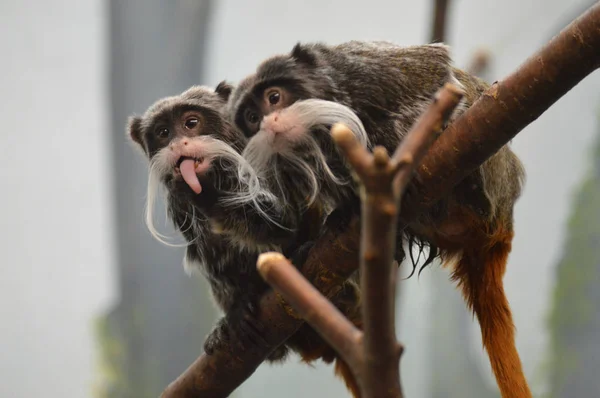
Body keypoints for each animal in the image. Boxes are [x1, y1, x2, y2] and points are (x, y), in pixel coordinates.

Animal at [124, 85, 364, 378]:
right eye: (163, 132)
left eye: (191, 123)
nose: (178, 144)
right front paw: (237, 308)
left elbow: (284, 223)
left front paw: (205, 191)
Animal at [227, 41, 528, 398]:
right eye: (252, 117)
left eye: (274, 97)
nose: (269, 123)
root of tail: (503, 222)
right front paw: (340, 215)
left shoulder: (364, 67)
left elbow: (437, 71)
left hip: (494, 179)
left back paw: (466, 186)